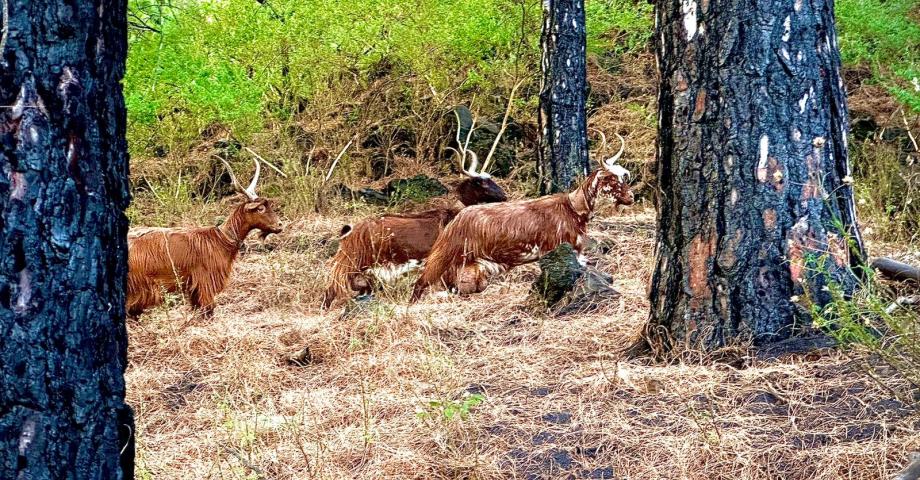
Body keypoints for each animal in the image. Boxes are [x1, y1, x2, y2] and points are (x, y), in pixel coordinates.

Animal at [126, 156, 282, 316]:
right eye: (260, 208)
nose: (280, 225)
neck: (221, 239)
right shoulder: (205, 283)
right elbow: (209, 311)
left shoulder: (194, 290)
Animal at [322, 111, 510, 308]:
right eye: (481, 182)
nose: (504, 196)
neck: (454, 217)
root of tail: (350, 232)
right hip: (354, 261)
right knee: (333, 287)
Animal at [412, 133, 632, 302]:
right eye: (611, 178)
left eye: (624, 176)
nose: (631, 197)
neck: (572, 208)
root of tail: (456, 220)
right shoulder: (562, 250)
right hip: (443, 258)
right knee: (421, 283)